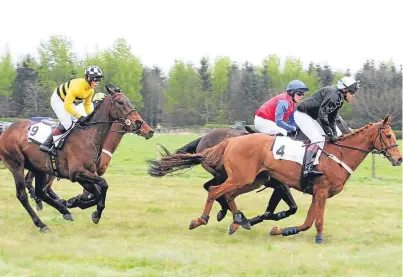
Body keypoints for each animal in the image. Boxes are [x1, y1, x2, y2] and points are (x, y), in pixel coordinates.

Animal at [0, 84, 155, 231]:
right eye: (121, 102)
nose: (142, 125)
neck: (88, 135)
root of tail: (6, 130)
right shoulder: (78, 173)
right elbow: (102, 185)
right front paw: (83, 206)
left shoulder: (88, 173)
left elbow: (97, 192)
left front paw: (82, 206)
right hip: (16, 165)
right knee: (23, 195)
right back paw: (41, 224)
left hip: (39, 169)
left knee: (41, 191)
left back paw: (63, 210)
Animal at [148, 114, 400, 242]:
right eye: (388, 135)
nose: (399, 159)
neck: (338, 153)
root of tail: (229, 141)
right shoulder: (316, 190)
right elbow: (313, 220)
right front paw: (318, 238)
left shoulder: (316, 193)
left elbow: (306, 221)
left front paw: (281, 230)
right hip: (239, 177)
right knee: (214, 190)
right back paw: (203, 219)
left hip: (250, 180)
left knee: (224, 194)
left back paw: (237, 220)